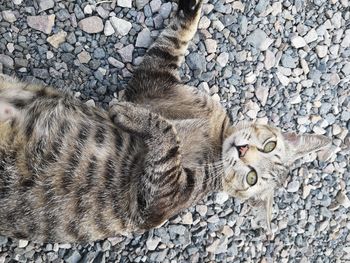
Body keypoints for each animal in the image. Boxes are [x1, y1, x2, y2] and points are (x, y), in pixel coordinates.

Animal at [0, 0, 330, 243]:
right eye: (270, 144)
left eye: (252, 179)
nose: (242, 150)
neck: (217, 135)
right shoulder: (155, 81)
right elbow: (175, 39)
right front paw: (191, 8)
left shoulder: (157, 200)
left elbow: (167, 134)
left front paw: (130, 115)